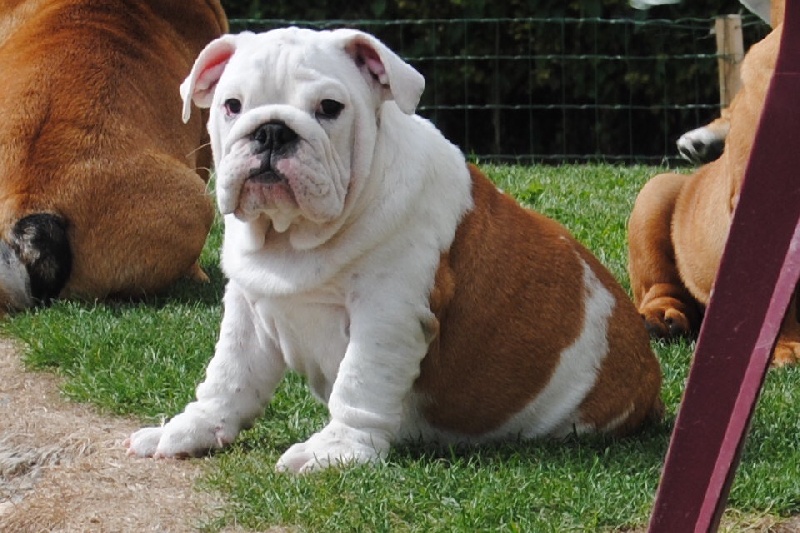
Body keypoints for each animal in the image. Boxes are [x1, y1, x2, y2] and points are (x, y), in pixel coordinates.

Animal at [125, 28, 663, 473]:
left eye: (330, 108)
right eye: (232, 105)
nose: (273, 129)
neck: (294, 237)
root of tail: (648, 382)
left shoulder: (386, 315)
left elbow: (360, 382)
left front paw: (335, 450)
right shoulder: (248, 307)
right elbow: (228, 376)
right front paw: (190, 428)